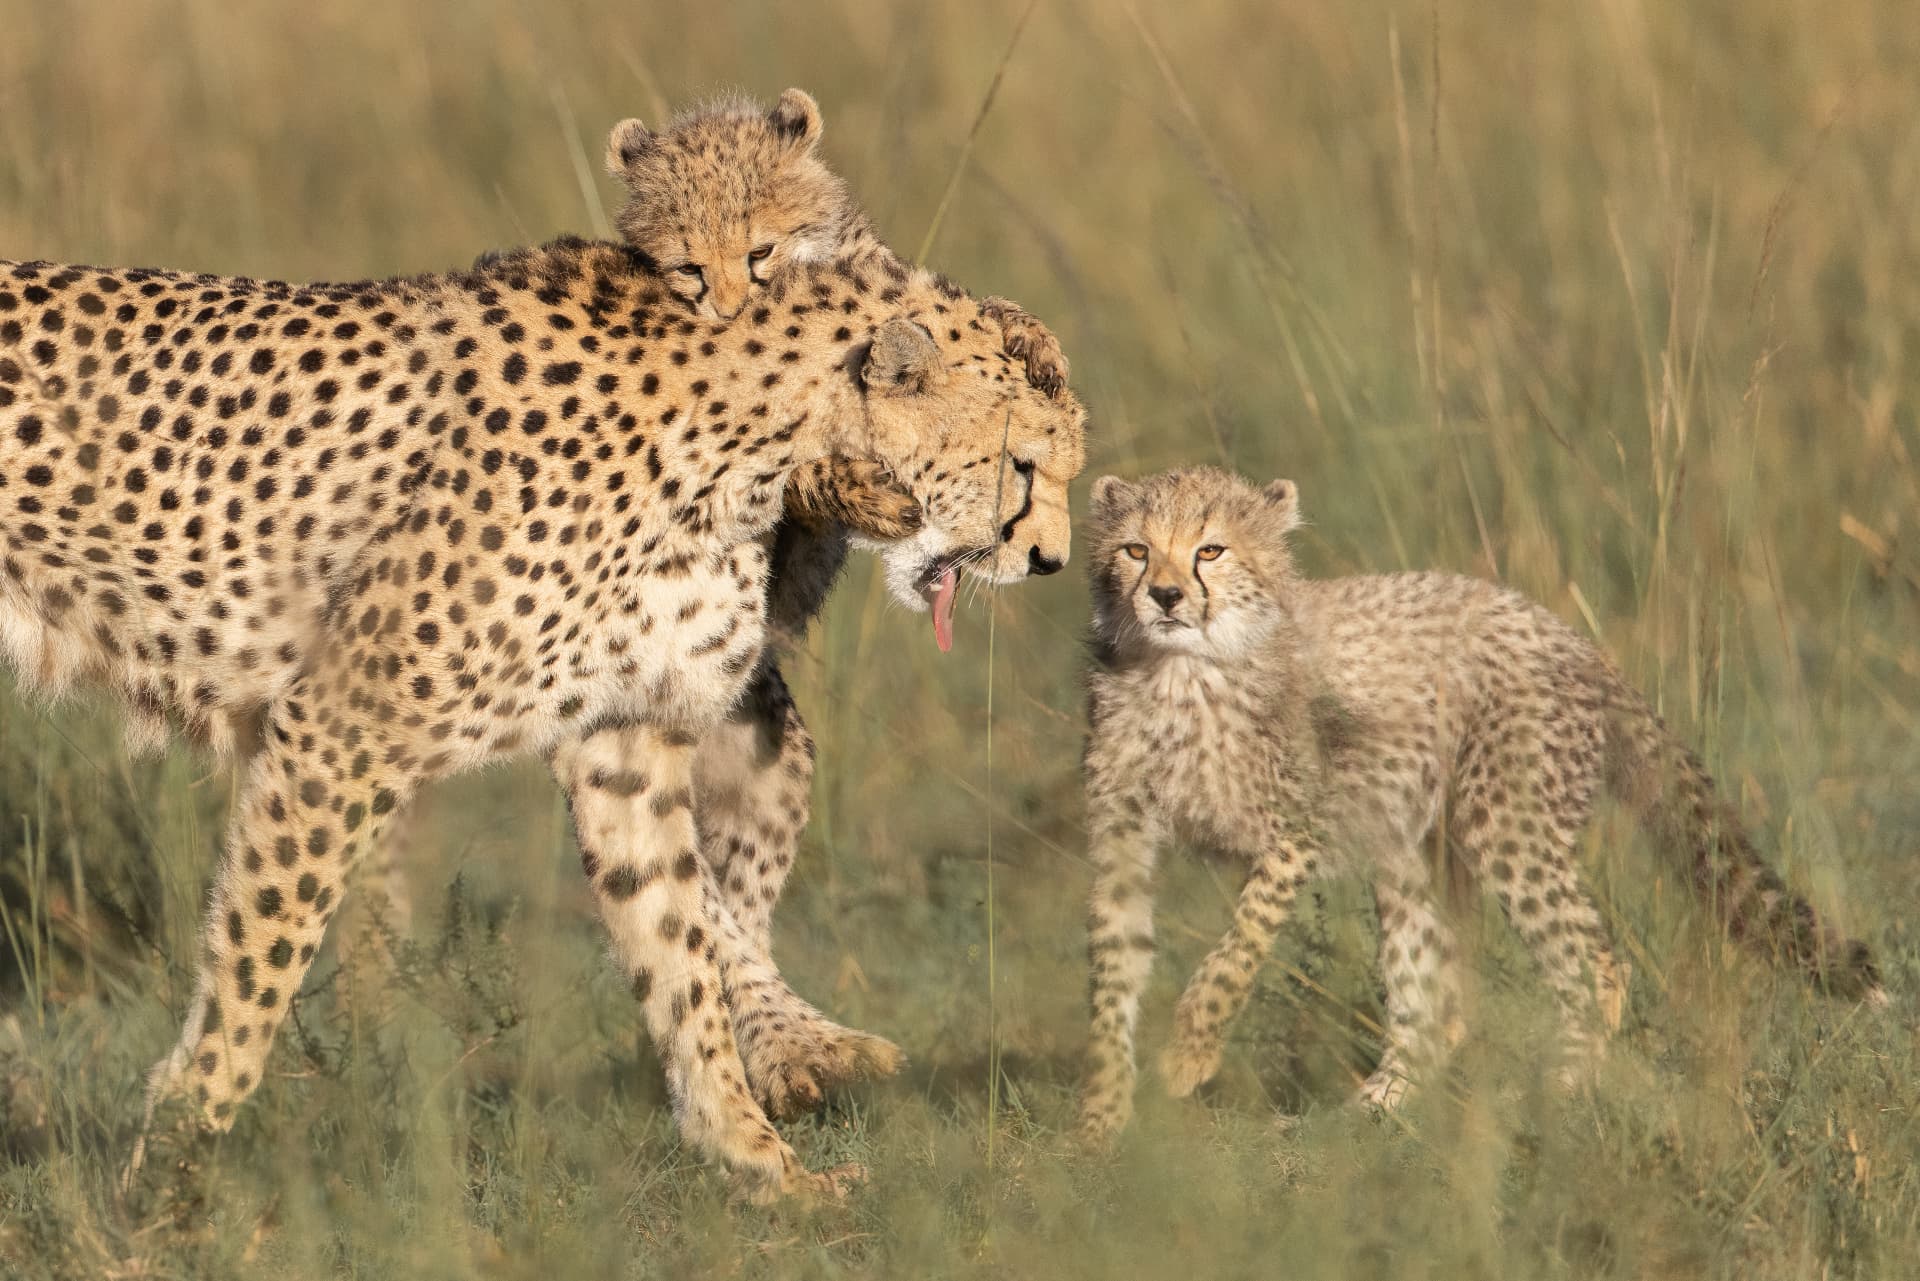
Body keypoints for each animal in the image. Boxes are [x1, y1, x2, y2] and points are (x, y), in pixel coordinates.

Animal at [0, 233, 1086, 1199]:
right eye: (1025, 465)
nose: (1052, 562)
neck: (763, 442)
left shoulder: (624, 744)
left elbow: (679, 954)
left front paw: (762, 1168)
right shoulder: (343, 726)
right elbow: (255, 968)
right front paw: (168, 1176)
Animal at [1073, 466, 1882, 1144]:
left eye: (1210, 550)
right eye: (1136, 550)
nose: (1166, 596)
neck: (1181, 672)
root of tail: (1563, 629)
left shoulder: (1293, 834)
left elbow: (1233, 954)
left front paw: (1185, 1055)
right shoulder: (1120, 840)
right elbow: (1113, 976)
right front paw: (1101, 1118)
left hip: (1507, 824)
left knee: (1594, 963)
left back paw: (1557, 1091)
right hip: (1410, 850)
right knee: (1436, 1000)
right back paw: (1374, 1109)